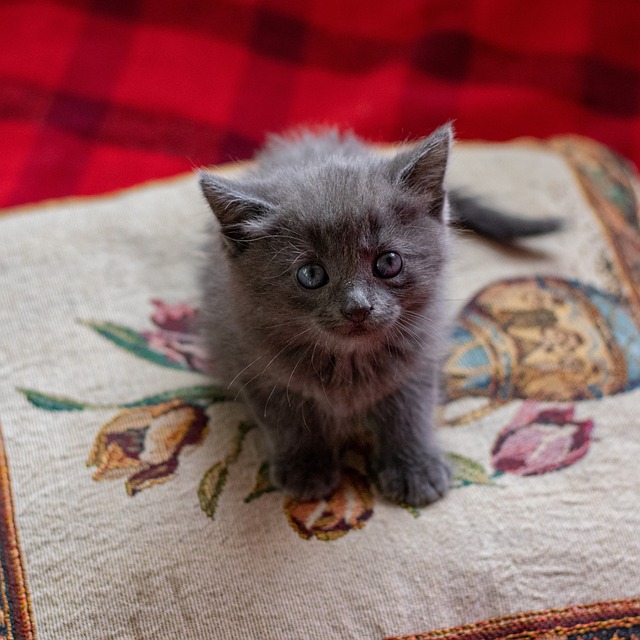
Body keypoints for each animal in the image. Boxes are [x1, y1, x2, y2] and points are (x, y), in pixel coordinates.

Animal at [198, 124, 556, 504]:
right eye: (310, 274)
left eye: (388, 262)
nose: (357, 306)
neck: (348, 364)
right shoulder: (250, 360)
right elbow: (287, 420)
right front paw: (307, 467)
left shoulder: (420, 351)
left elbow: (410, 412)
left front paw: (415, 468)